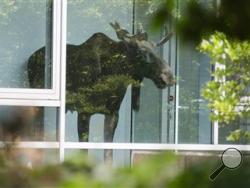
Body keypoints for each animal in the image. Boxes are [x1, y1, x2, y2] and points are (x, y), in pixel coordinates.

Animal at [26, 21, 174, 160]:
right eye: (142, 52)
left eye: (156, 49)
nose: (169, 76)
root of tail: (30, 59)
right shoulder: (84, 111)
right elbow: (84, 150)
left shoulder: (113, 113)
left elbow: (108, 154)